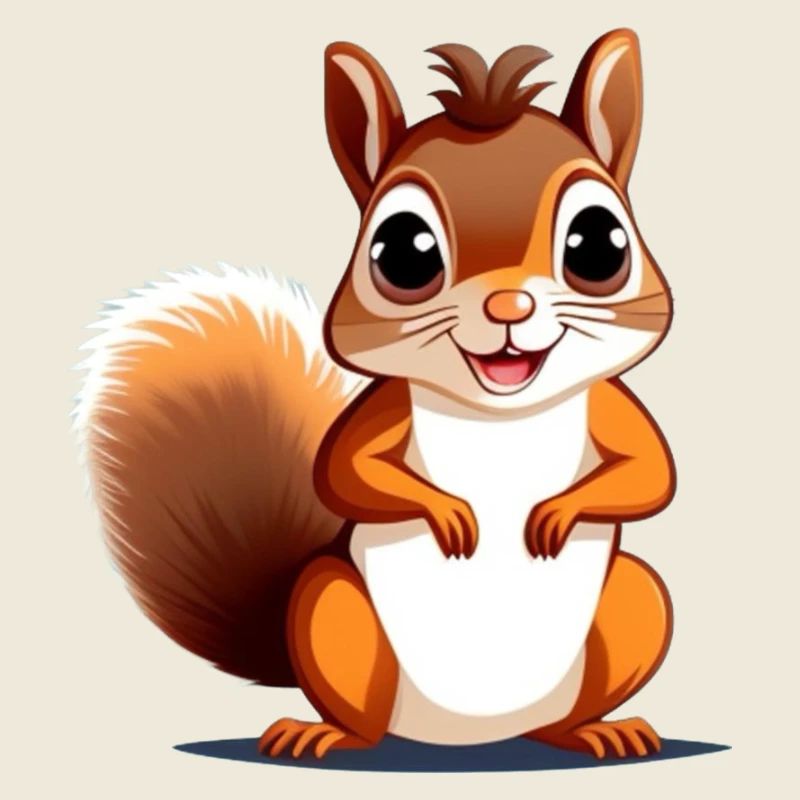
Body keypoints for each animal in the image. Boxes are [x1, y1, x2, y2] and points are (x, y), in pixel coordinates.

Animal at [76, 28, 676, 761]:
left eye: (599, 243)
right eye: (402, 253)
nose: (508, 305)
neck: (497, 411)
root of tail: (473, 736)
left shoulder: (611, 402)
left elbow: (651, 473)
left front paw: (554, 514)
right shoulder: (385, 404)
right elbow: (343, 473)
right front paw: (451, 514)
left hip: (636, 602)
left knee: (571, 706)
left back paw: (595, 730)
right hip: (330, 605)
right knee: (359, 715)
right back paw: (323, 732)